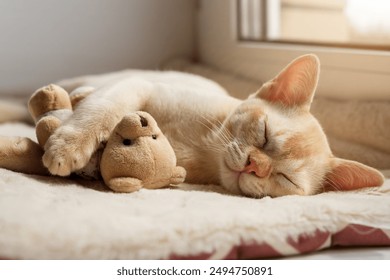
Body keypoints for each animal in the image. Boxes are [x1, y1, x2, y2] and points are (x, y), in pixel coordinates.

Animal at [43, 54, 384, 198]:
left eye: (285, 178)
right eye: (264, 136)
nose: (254, 166)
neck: (203, 149)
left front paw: (93, 161)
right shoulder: (140, 86)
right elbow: (102, 110)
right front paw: (68, 147)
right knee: (88, 91)